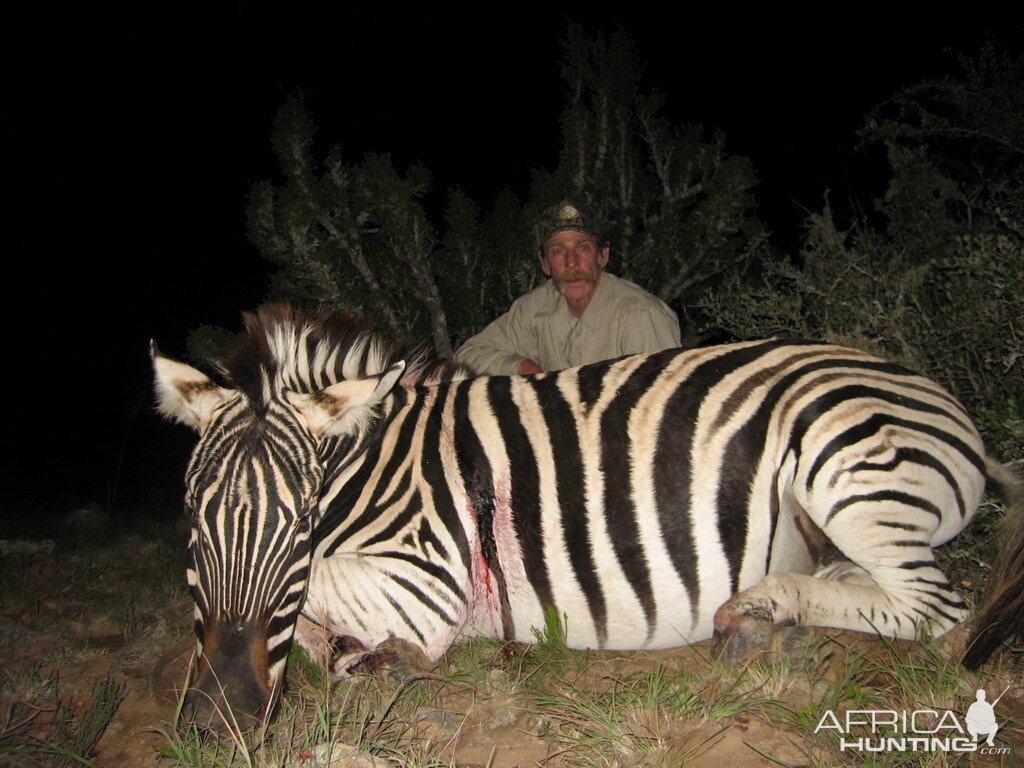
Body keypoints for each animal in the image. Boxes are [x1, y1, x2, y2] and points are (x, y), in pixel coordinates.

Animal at [153, 305, 1024, 729]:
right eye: (191, 519)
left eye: (302, 522)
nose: (220, 718)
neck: (380, 463)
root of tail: (923, 386)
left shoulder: (424, 579)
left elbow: (318, 605)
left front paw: (366, 657)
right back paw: (766, 613)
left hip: (842, 459)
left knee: (935, 612)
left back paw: (760, 613)